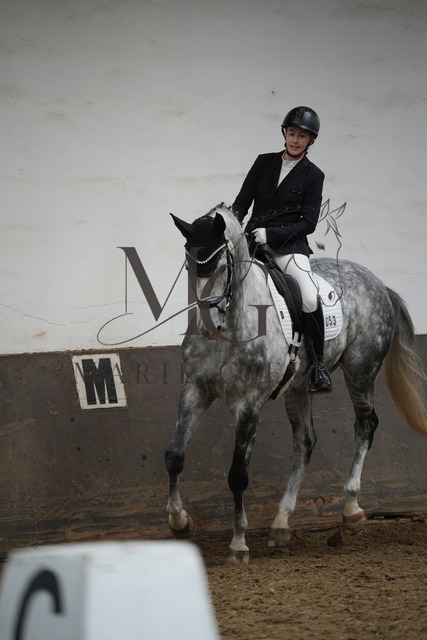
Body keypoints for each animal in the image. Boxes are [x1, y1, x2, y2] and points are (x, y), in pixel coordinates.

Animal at [165, 203, 427, 563]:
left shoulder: (248, 405)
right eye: (189, 264)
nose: (208, 324)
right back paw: (280, 524)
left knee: (366, 425)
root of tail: (376, 281)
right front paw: (179, 522)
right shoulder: (195, 391)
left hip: (361, 370)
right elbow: (175, 456)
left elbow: (237, 475)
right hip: (300, 388)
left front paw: (238, 544)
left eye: (221, 267)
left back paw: (351, 512)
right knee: (304, 443)